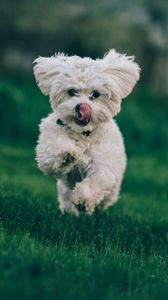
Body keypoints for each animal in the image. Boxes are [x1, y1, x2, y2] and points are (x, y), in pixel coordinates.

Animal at [33, 49, 140, 216]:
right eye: (72, 91)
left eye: (95, 94)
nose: (81, 107)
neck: (82, 134)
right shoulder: (47, 146)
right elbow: (53, 152)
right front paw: (67, 154)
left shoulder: (103, 165)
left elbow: (96, 181)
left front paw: (84, 200)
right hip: (64, 190)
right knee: (66, 199)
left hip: (112, 191)